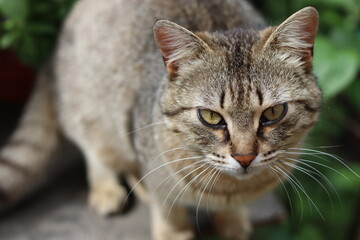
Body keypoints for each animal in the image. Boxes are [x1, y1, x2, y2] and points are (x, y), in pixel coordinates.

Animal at [0, 0, 320, 239]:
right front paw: (174, 232)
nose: (244, 157)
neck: (227, 189)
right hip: (90, 108)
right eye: (211, 117)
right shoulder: (156, 172)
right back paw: (108, 188)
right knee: (95, 151)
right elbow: (168, 212)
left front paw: (232, 221)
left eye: (273, 113)